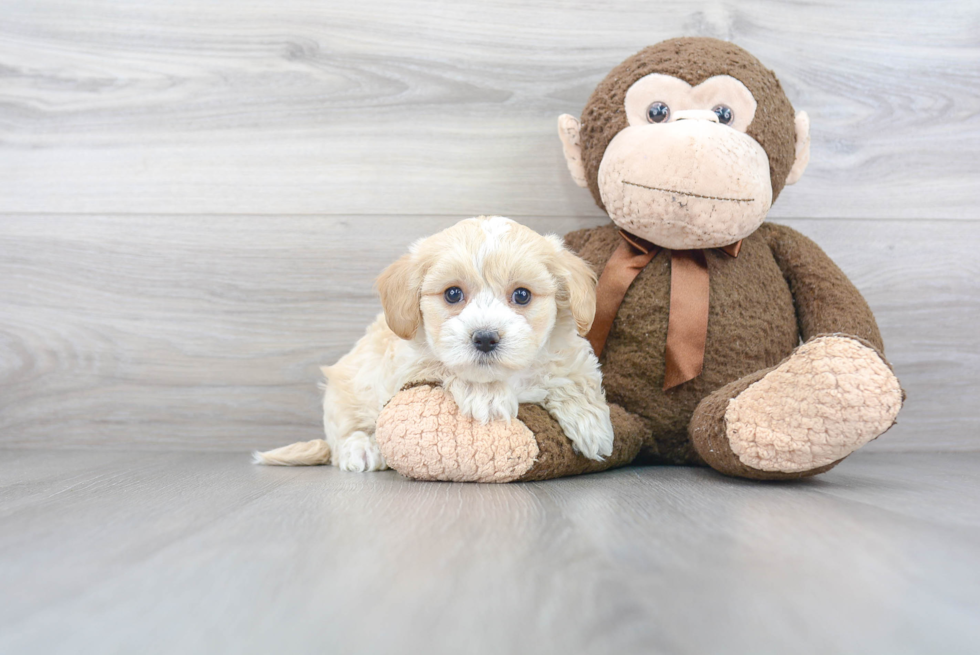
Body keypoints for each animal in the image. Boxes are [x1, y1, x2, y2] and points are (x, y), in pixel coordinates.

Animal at [258, 218, 612, 474]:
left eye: (522, 295)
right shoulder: (409, 364)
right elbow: (448, 367)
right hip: (348, 388)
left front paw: (593, 425)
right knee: (343, 434)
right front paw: (487, 396)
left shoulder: (565, 351)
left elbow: (575, 373)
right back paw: (361, 448)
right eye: (453, 294)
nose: (485, 338)